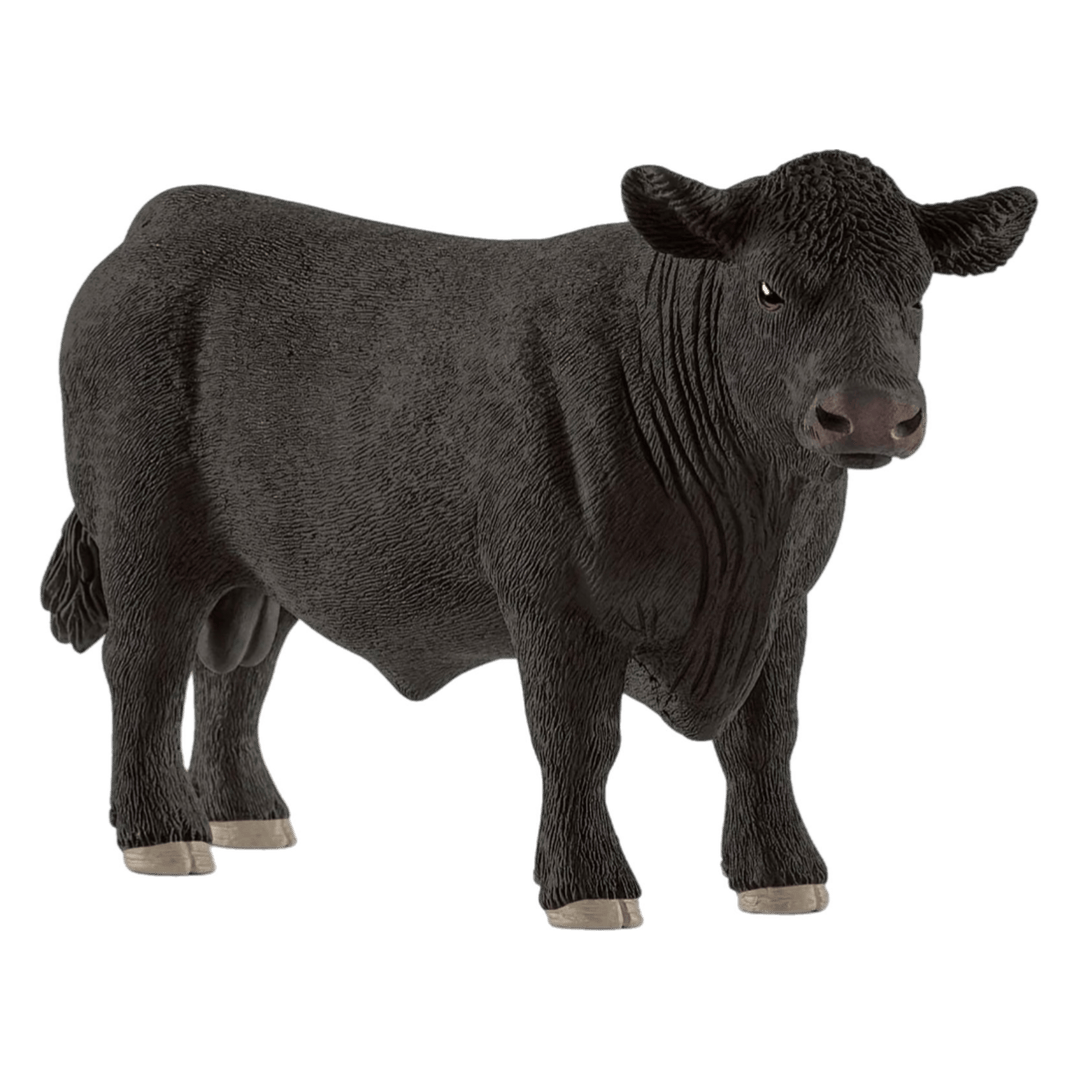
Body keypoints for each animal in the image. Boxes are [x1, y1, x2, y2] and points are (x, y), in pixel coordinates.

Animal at [41, 151, 1038, 929]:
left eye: (915, 292)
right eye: (768, 287)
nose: (870, 413)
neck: (743, 536)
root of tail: (163, 221)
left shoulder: (785, 606)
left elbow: (764, 737)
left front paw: (784, 879)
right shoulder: (558, 602)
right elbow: (579, 740)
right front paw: (590, 891)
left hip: (257, 577)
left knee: (235, 678)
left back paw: (250, 822)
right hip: (142, 538)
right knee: (145, 673)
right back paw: (165, 838)